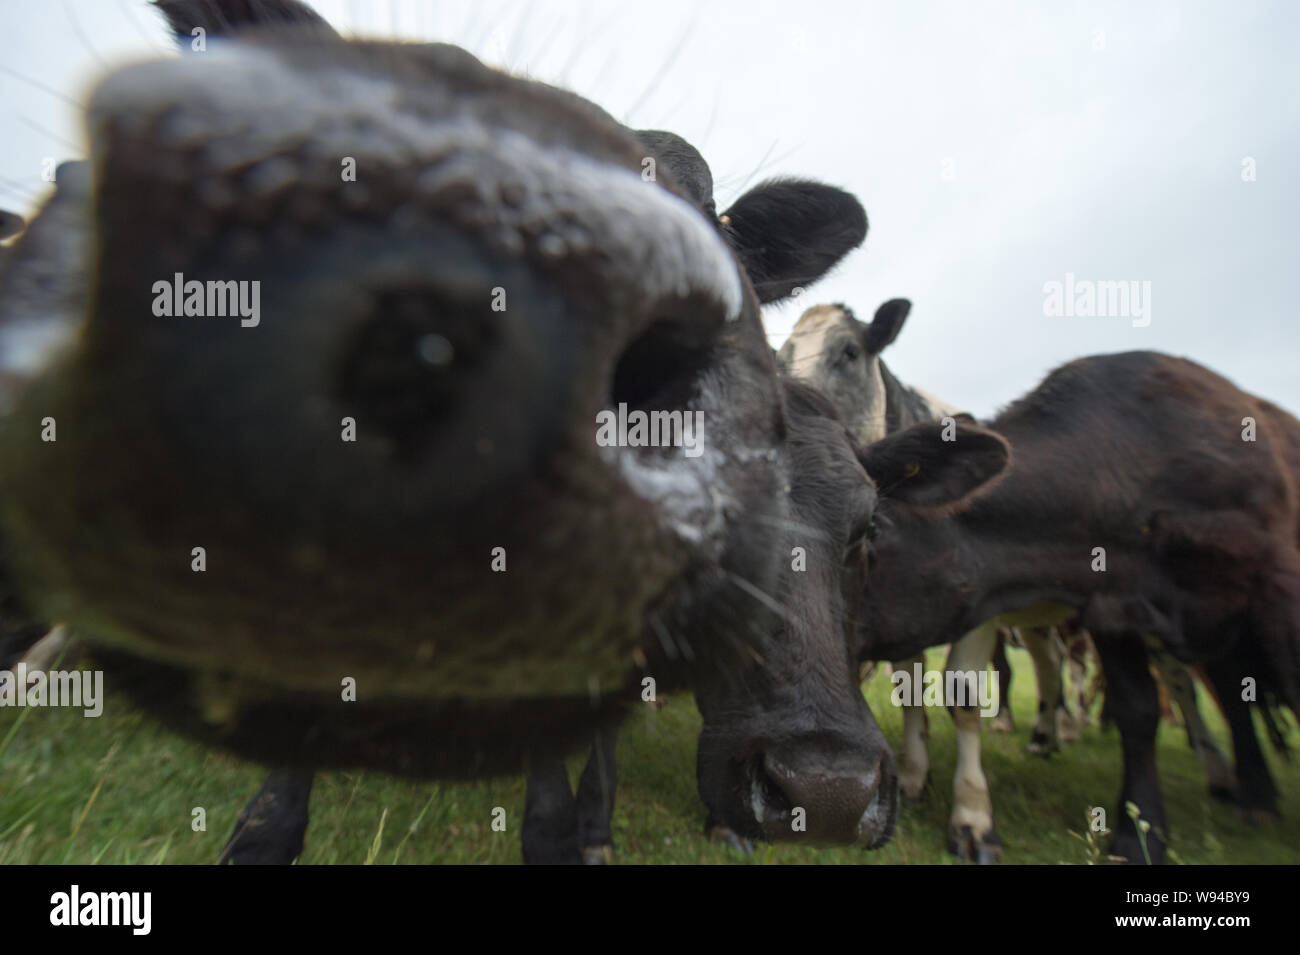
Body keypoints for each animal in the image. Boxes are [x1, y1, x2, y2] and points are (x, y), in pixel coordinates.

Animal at [852, 348, 1300, 857]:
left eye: (872, 528)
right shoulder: (1108, 606)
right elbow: (1136, 708)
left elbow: (962, 693)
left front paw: (971, 819)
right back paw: (1049, 735)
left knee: (1187, 683)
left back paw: (1229, 781)